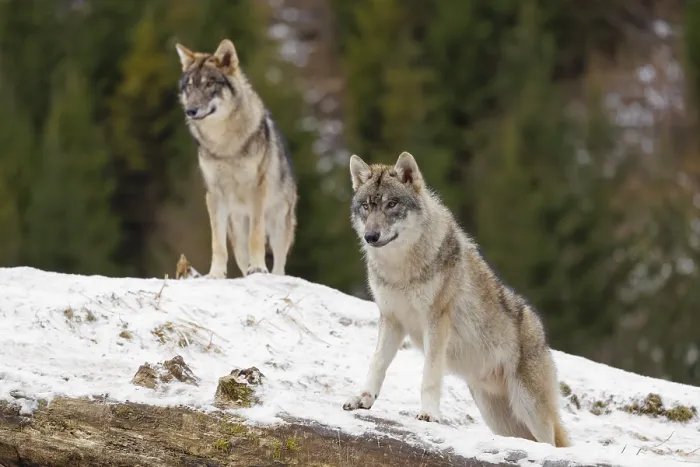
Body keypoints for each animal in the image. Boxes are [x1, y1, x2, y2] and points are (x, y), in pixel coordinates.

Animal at [174, 39, 297, 277]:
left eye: (209, 84)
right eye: (190, 87)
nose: (190, 110)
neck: (225, 144)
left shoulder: (257, 192)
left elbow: (256, 236)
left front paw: (258, 267)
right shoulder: (214, 195)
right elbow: (217, 244)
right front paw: (215, 274)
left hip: (278, 226)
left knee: (279, 264)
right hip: (237, 233)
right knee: (241, 257)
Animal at [342, 151, 570, 448]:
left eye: (392, 204)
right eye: (367, 207)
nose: (371, 236)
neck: (401, 270)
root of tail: (540, 332)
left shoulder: (437, 321)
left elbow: (429, 375)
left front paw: (428, 415)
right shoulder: (391, 319)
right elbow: (377, 363)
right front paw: (363, 399)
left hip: (529, 408)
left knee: (551, 443)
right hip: (500, 420)